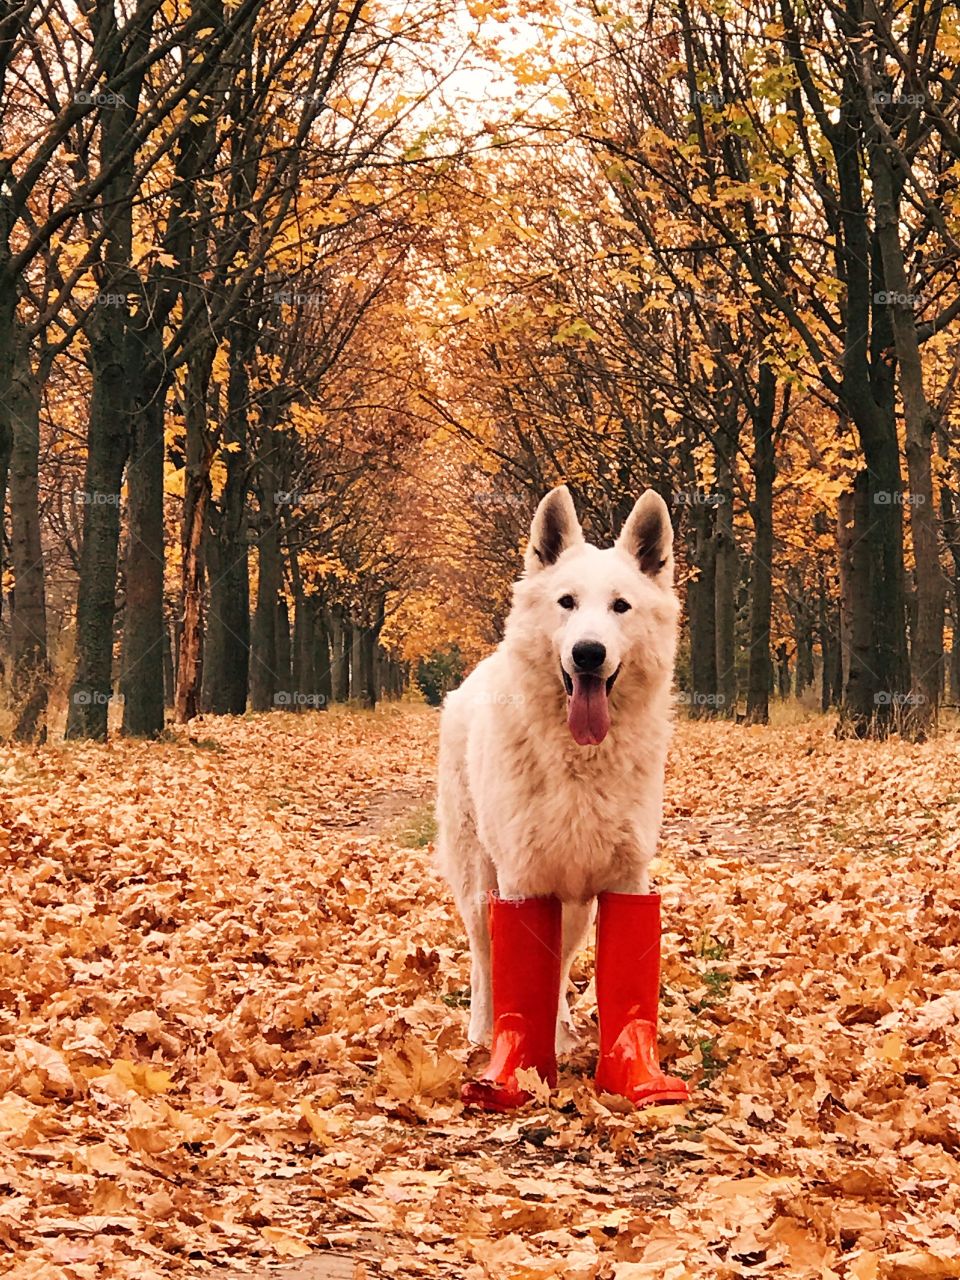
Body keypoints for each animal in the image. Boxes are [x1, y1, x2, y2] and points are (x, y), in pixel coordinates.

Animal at [437, 483, 686, 1105]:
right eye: (567, 603)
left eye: (621, 606)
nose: (588, 653)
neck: (581, 760)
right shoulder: (524, 881)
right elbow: (522, 970)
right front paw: (521, 1067)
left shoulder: (625, 880)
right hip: (480, 880)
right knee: (484, 956)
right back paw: (483, 1030)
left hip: (576, 903)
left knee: (560, 963)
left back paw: (565, 1030)